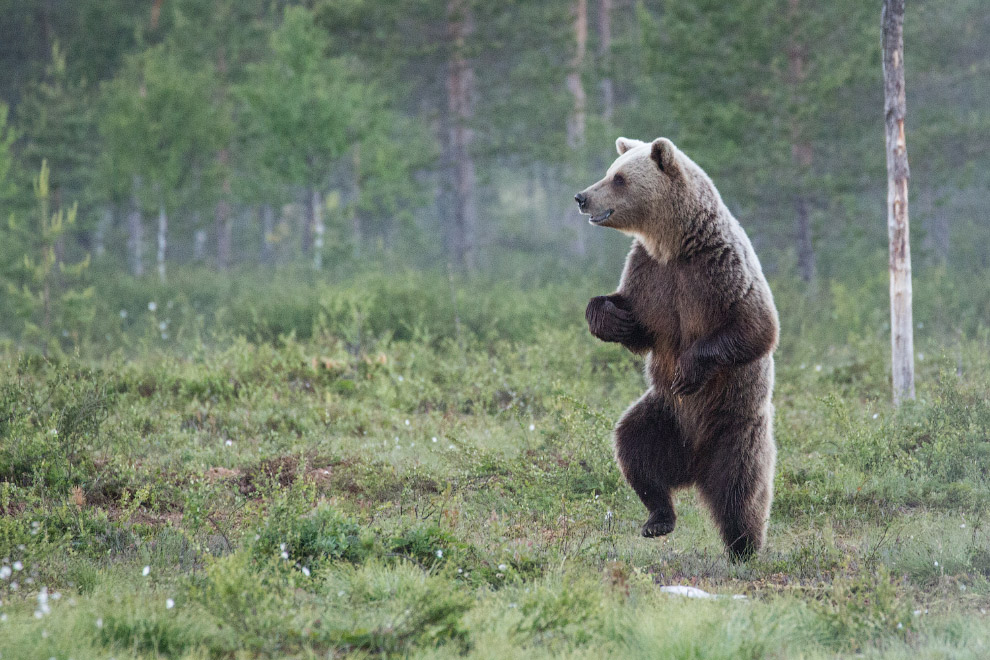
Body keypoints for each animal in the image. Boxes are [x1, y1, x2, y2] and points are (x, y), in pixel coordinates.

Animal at [576, 137, 780, 560]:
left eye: (619, 178)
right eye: (610, 170)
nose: (582, 196)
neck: (673, 244)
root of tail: (694, 467)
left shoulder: (718, 269)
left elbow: (756, 326)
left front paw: (689, 369)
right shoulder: (649, 275)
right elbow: (638, 323)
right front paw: (610, 317)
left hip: (734, 426)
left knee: (741, 491)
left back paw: (744, 548)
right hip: (664, 416)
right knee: (633, 448)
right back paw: (658, 518)